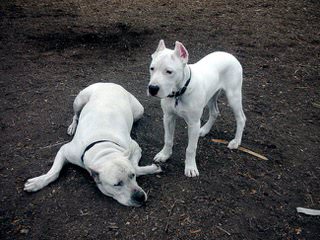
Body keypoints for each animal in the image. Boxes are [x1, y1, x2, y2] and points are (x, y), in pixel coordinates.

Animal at [23, 82, 161, 206]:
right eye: (117, 184)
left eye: (132, 176)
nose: (140, 197)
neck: (103, 149)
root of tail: (110, 83)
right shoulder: (65, 150)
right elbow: (54, 172)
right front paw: (38, 182)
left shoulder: (134, 147)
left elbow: (135, 166)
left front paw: (152, 168)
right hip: (79, 101)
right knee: (76, 115)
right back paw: (72, 126)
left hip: (139, 111)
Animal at [147, 40, 245, 177]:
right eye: (152, 68)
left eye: (169, 72)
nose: (152, 88)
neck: (179, 92)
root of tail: (229, 55)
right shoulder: (168, 117)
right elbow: (168, 139)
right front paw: (164, 155)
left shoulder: (193, 123)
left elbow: (191, 148)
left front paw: (190, 168)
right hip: (211, 96)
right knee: (215, 112)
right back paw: (204, 130)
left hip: (233, 96)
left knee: (241, 118)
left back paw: (236, 141)